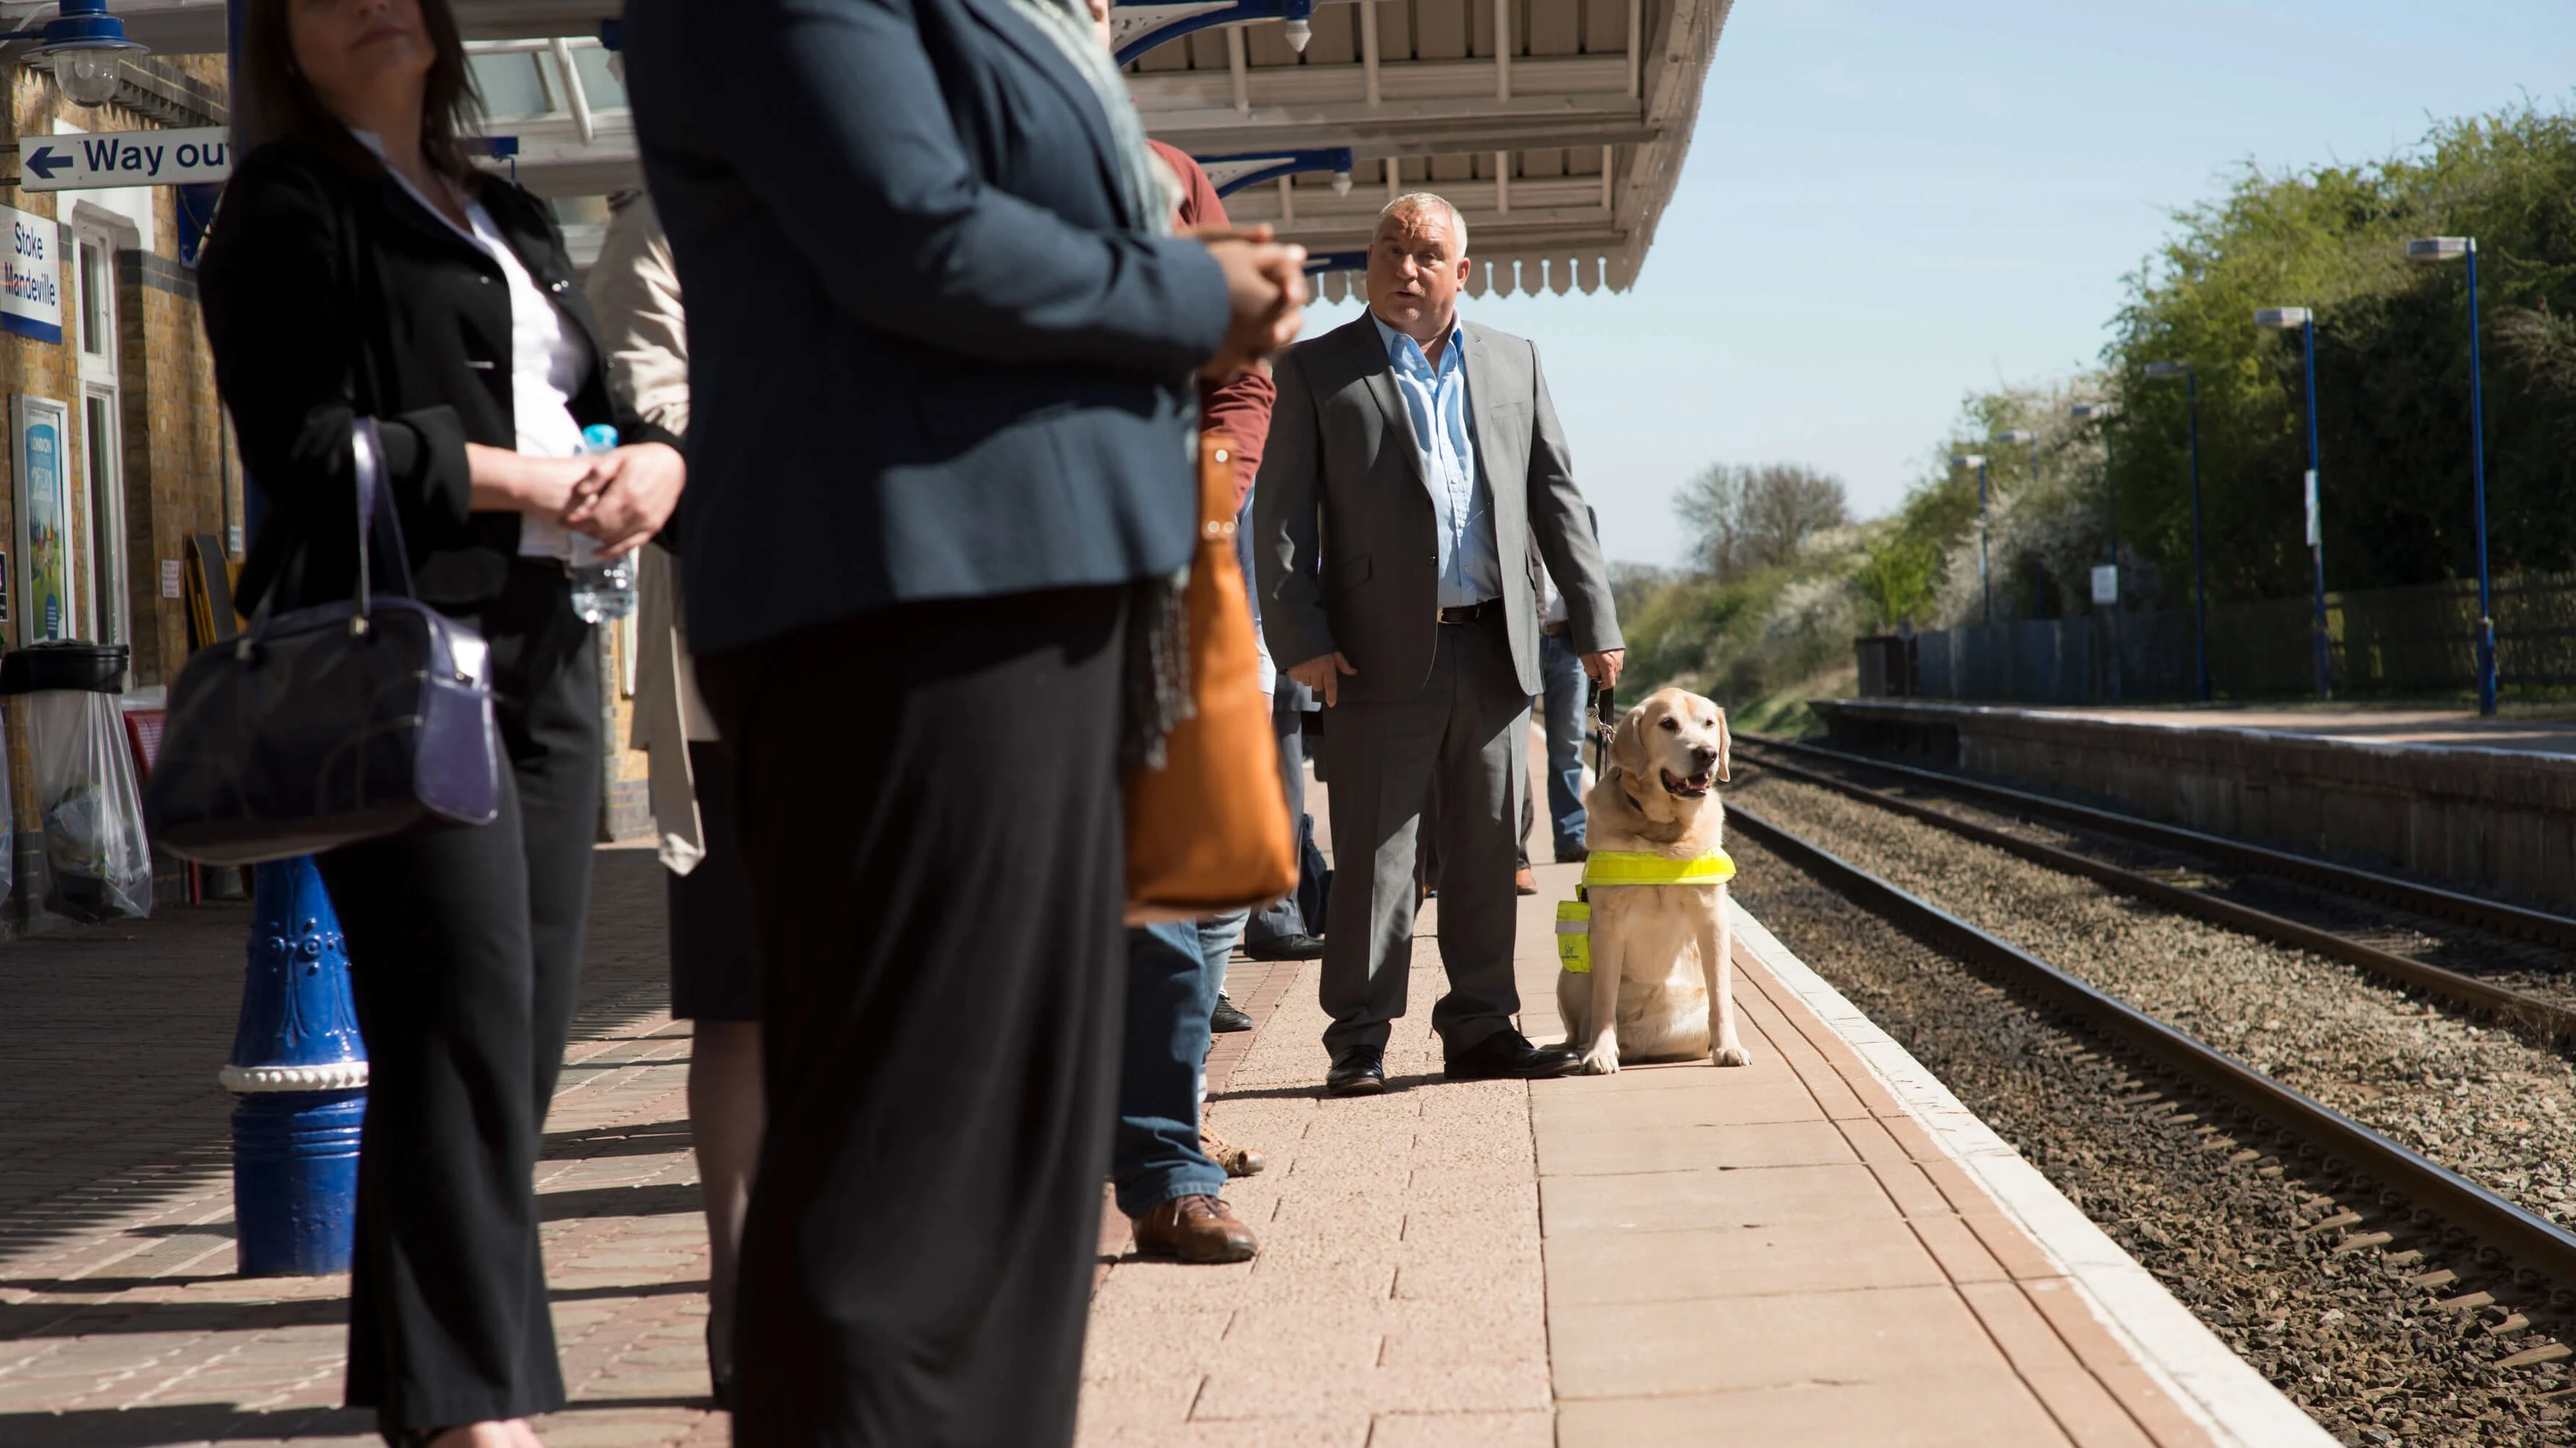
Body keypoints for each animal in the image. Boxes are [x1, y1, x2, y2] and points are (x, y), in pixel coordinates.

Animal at [1545, 685, 1751, 1072]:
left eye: (1709, 723)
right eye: (1668, 724)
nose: (1706, 754)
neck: (1662, 831)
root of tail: (1640, 1040)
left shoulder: (1712, 918)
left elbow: (1720, 995)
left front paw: (1728, 1048)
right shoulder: (1607, 925)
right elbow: (1604, 999)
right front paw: (1600, 1051)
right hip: (1570, 975)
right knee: (1579, 1030)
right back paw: (1582, 1050)